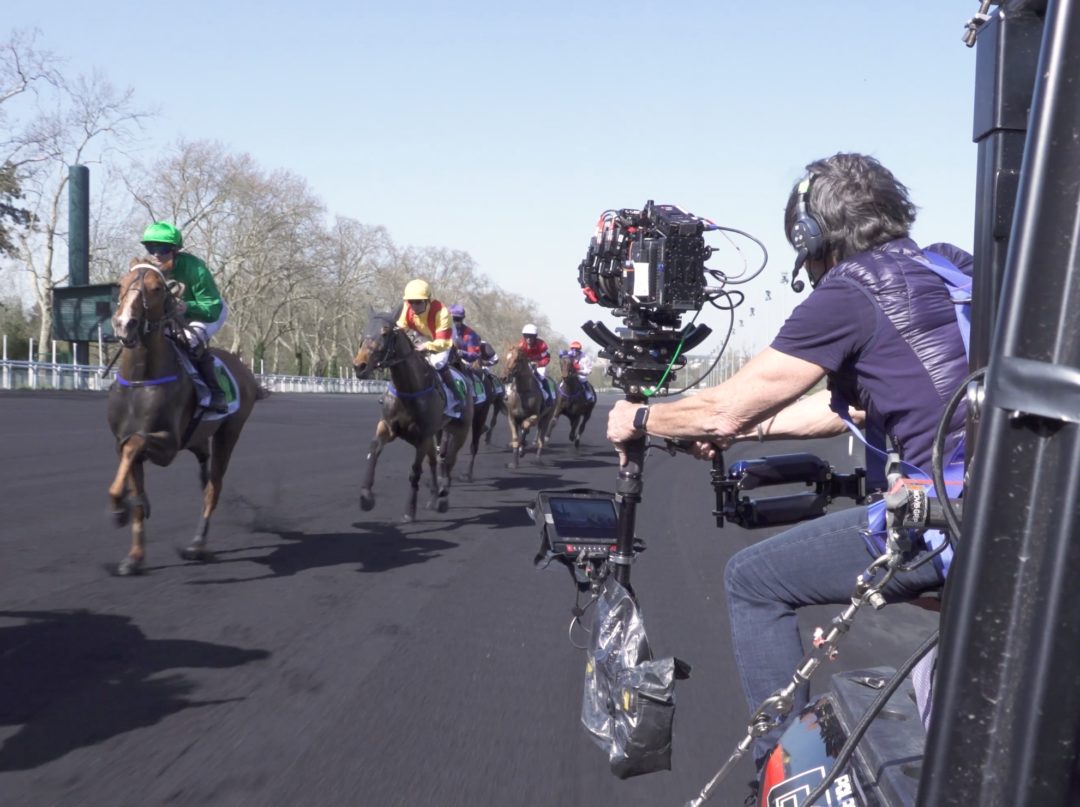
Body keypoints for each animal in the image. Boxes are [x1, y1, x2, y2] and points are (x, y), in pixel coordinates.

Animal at [105, 257, 261, 574]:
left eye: (155, 288)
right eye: (121, 283)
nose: (125, 324)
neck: (141, 379)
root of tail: (245, 371)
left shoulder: (168, 445)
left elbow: (135, 444)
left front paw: (118, 509)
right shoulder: (121, 439)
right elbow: (130, 467)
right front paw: (134, 556)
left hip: (229, 433)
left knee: (213, 487)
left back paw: (197, 544)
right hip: (199, 440)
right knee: (205, 476)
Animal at [354, 313, 473, 520]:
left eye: (385, 332)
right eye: (364, 330)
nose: (359, 365)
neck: (408, 390)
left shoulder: (423, 436)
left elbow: (415, 471)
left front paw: (409, 509)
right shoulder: (388, 426)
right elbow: (374, 450)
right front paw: (366, 496)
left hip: (460, 431)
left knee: (448, 461)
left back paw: (442, 497)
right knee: (434, 461)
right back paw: (434, 497)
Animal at [501, 343, 557, 471]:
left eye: (516, 359)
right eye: (505, 357)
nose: (504, 378)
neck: (523, 392)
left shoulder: (536, 416)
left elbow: (525, 426)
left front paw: (522, 448)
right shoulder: (512, 417)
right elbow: (516, 438)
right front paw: (514, 463)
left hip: (546, 418)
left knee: (541, 438)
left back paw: (537, 459)